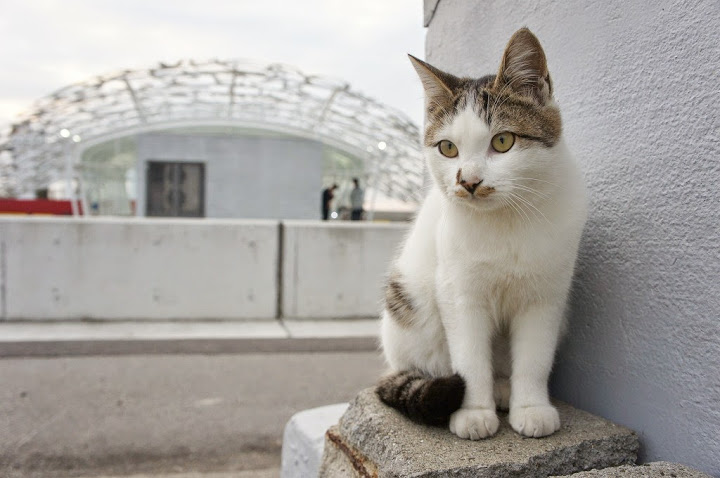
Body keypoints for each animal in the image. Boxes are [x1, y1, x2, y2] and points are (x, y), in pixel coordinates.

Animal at [376, 29, 584, 440]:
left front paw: (531, 408)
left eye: (503, 141)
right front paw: (473, 412)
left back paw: (505, 388)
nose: (469, 182)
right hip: (410, 308)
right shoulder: (459, 293)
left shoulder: (546, 296)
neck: (506, 220)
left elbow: (534, 358)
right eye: (447, 148)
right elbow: (470, 359)